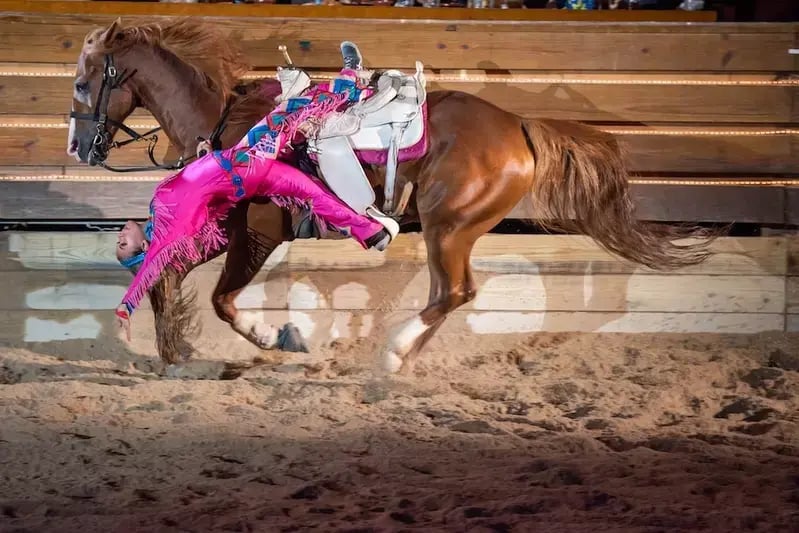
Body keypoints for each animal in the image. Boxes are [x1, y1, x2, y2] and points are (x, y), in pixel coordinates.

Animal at [67, 17, 719, 374]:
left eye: (81, 81)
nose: (77, 146)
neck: (225, 122)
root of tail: (519, 126)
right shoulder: (227, 227)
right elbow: (170, 276)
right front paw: (175, 350)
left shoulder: (257, 231)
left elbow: (224, 300)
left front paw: (279, 337)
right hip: (451, 229)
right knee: (448, 294)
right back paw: (400, 357)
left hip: (446, 225)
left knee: (454, 291)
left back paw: (390, 355)